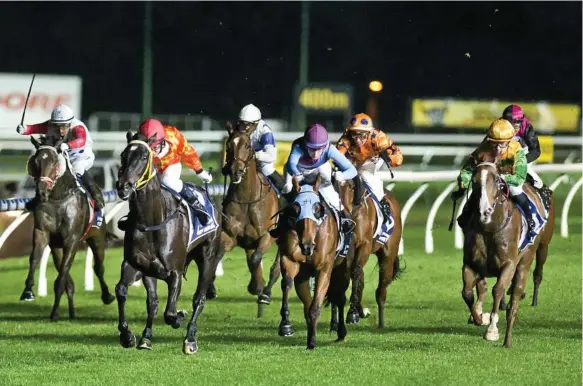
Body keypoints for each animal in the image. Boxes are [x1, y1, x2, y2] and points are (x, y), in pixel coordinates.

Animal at [20, 136, 115, 320]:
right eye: (35, 162)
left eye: (54, 162)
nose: (41, 192)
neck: (58, 198)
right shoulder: (42, 233)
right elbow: (35, 259)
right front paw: (28, 291)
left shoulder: (72, 240)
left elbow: (63, 275)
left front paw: (55, 312)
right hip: (57, 247)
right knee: (67, 278)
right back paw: (71, 312)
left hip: (97, 239)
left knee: (98, 268)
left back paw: (107, 296)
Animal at [115, 131, 225, 354]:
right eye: (123, 155)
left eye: (143, 157)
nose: (123, 186)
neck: (151, 222)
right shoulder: (136, 266)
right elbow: (122, 291)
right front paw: (128, 335)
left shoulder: (174, 271)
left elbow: (171, 313)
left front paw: (179, 317)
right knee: (153, 302)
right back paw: (146, 338)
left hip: (208, 257)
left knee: (199, 298)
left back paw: (190, 338)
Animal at [274, 175, 352, 350]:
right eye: (295, 210)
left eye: (317, 209)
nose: (307, 245)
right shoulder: (290, 260)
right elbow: (287, 283)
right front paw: (285, 324)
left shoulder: (324, 268)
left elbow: (315, 306)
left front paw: (312, 341)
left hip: (342, 268)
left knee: (339, 297)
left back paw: (341, 331)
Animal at [338, 179, 402, 328]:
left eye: (351, 186)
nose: (343, 213)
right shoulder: (348, 248)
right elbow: (352, 275)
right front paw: (357, 311)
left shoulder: (364, 245)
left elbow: (355, 273)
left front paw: (352, 313)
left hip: (388, 255)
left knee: (381, 288)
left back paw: (381, 323)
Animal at [460, 152, 556, 348]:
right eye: (474, 180)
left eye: (497, 179)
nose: (485, 211)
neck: (489, 228)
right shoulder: (470, 264)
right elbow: (467, 293)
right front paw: (479, 317)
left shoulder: (509, 264)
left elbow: (497, 290)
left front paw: (492, 330)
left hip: (534, 253)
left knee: (519, 292)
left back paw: (508, 339)